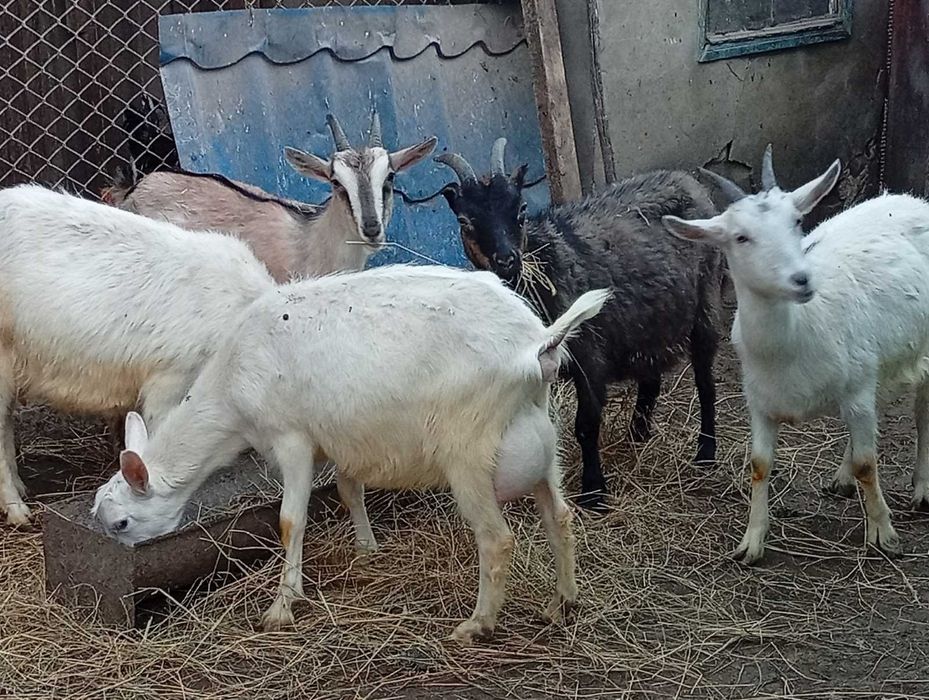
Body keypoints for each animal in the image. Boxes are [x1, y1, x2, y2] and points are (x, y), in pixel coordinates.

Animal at [93, 265, 610, 642]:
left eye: (122, 523)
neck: (230, 395)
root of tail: (537, 344)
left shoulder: (293, 438)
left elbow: (290, 521)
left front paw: (282, 605)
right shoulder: (343, 441)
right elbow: (348, 489)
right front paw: (366, 549)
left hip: (470, 449)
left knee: (497, 539)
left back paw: (477, 624)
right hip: (540, 438)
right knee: (559, 516)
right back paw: (562, 602)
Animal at [436, 139, 724, 510]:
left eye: (521, 209)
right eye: (465, 220)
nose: (507, 260)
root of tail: (686, 179)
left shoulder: (590, 356)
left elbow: (586, 425)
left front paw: (593, 491)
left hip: (706, 301)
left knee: (705, 379)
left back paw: (705, 451)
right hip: (648, 318)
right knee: (651, 375)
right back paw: (638, 434)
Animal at [662, 144, 929, 563]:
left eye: (797, 220)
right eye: (740, 237)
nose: (802, 280)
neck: (796, 336)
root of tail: (911, 201)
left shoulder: (856, 391)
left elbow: (868, 465)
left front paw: (884, 534)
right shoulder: (759, 400)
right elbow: (759, 465)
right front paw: (751, 542)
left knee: (921, 413)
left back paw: (921, 489)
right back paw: (842, 478)